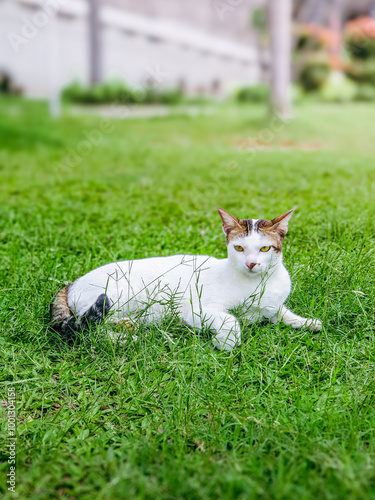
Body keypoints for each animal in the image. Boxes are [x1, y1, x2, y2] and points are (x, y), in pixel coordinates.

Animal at [51, 209, 324, 350]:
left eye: (265, 249)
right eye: (239, 248)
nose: (251, 264)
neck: (257, 286)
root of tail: (71, 284)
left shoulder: (271, 305)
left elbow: (281, 312)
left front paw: (306, 321)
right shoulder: (194, 309)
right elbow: (231, 320)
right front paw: (226, 341)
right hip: (117, 298)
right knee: (89, 330)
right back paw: (126, 338)